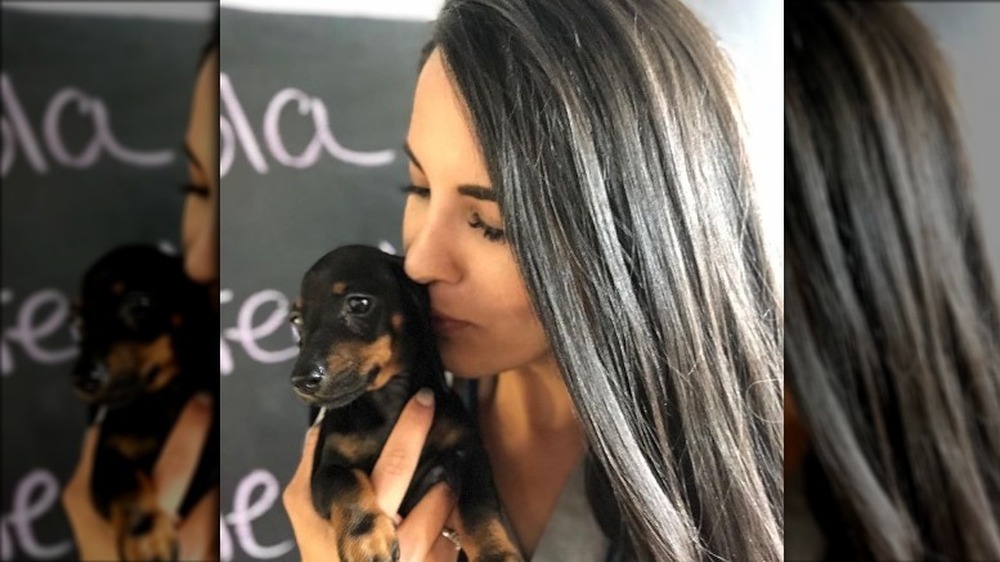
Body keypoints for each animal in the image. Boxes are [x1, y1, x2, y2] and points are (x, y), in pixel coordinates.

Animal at [72, 245, 217, 560]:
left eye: (140, 304)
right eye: (78, 323)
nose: (82, 379)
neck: (164, 399)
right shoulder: (108, 453)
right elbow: (125, 485)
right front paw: (148, 542)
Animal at [290, 244, 524, 560]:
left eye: (359, 304)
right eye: (296, 320)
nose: (301, 380)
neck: (389, 404)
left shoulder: (467, 453)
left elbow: (479, 508)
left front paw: (495, 553)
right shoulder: (325, 469)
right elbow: (344, 483)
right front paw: (367, 541)